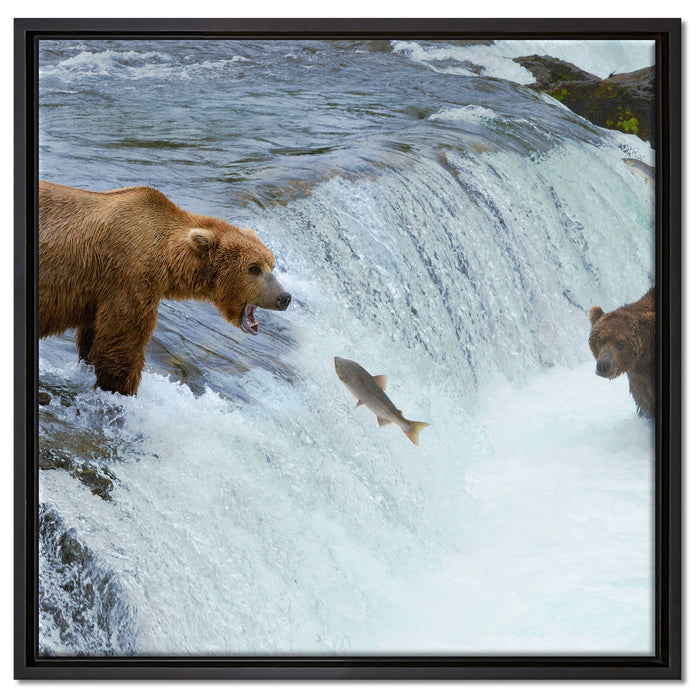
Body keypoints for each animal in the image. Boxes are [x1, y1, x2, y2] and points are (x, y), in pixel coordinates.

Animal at [39, 180, 291, 396]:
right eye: (254, 268)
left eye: (272, 264)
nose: (284, 297)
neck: (166, 259)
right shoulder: (129, 277)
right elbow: (121, 346)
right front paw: (121, 390)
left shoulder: (98, 294)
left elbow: (92, 338)